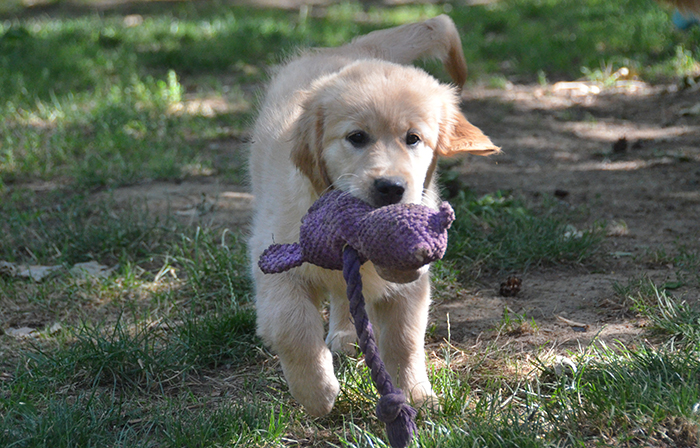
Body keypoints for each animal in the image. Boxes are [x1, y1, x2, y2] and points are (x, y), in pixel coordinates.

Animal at [248, 15, 499, 417]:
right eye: (356, 137)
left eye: (414, 138)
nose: (391, 187)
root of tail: (356, 49)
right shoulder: (274, 261)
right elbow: (293, 327)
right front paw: (316, 392)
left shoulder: (410, 283)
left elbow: (404, 339)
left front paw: (415, 393)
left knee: (347, 294)